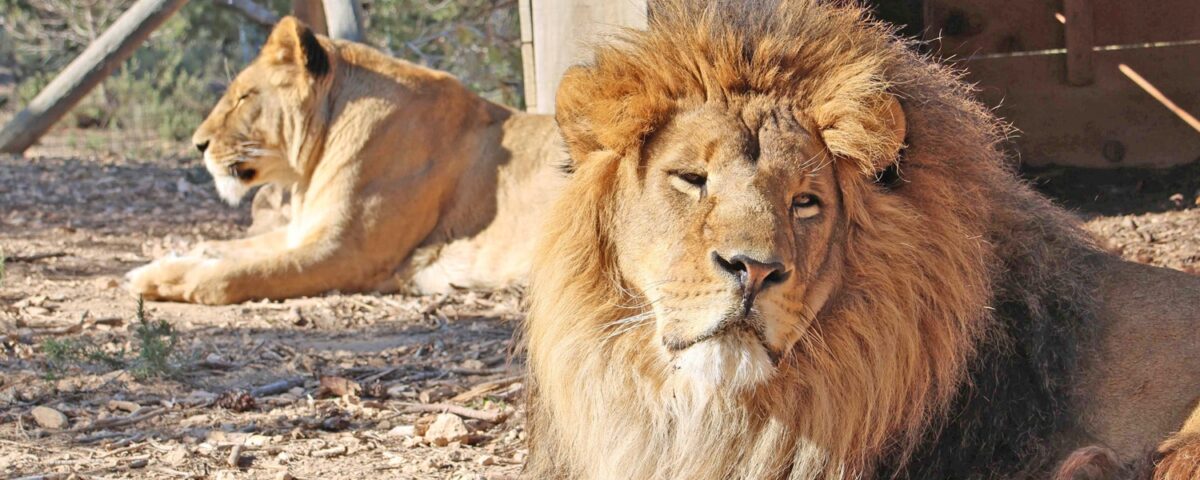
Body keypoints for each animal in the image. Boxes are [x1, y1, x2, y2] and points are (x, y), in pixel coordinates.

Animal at [126, 17, 565, 305]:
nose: (198, 144)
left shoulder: (346, 253)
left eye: (244, 97)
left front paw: (150, 279)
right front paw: (165, 259)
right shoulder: (303, 231)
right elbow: (223, 247)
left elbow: (231, 276)